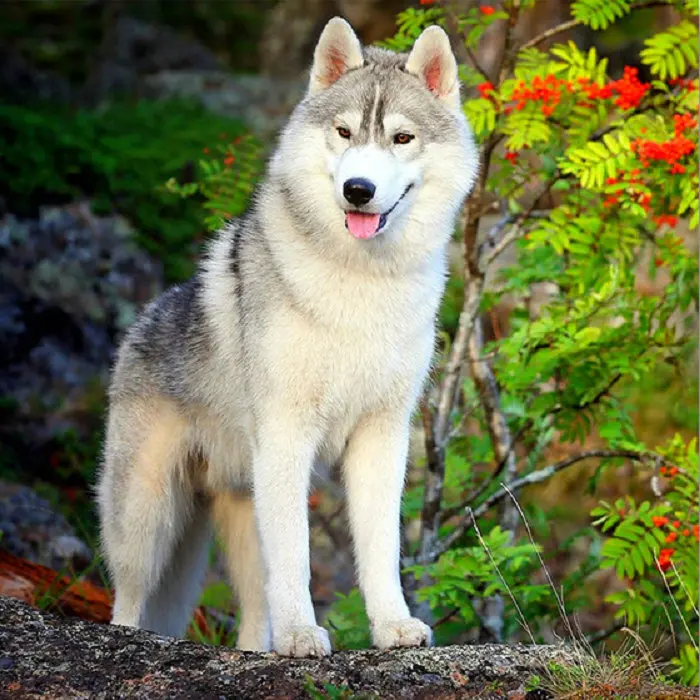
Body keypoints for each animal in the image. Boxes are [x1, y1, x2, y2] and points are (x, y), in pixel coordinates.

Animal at [96, 17, 478, 657]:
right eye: (344, 132)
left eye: (401, 138)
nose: (357, 189)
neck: (360, 286)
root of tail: (144, 318)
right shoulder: (286, 434)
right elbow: (297, 557)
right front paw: (303, 634)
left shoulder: (383, 436)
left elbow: (381, 550)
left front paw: (393, 626)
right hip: (148, 522)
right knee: (128, 603)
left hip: (238, 515)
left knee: (253, 617)